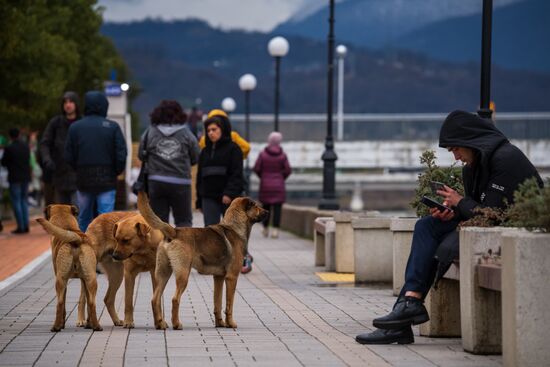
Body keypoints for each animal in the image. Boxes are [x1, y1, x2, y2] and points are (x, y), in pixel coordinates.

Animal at [137, 193, 268, 330]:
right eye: (256, 206)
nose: (268, 212)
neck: (234, 226)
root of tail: (174, 231)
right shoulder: (231, 278)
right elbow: (229, 304)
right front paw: (230, 323)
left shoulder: (219, 278)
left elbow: (218, 303)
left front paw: (220, 323)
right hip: (183, 275)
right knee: (175, 299)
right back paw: (176, 324)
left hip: (163, 274)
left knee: (155, 299)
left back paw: (160, 324)